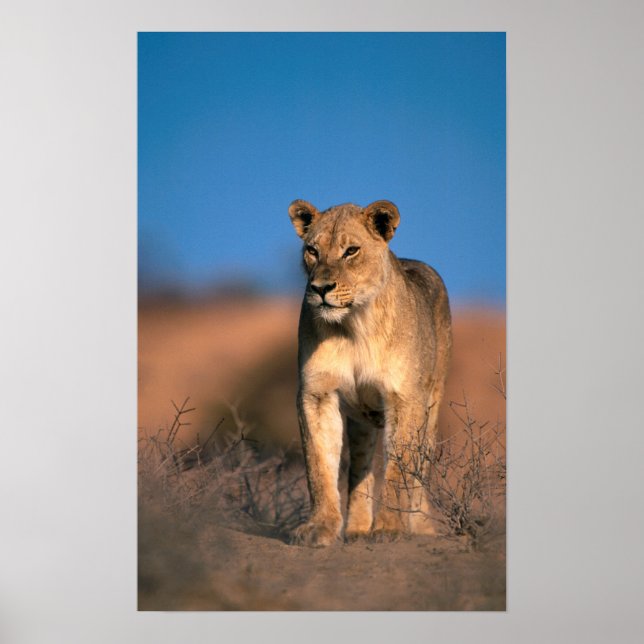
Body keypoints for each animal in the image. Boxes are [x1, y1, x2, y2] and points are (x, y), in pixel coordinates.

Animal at [288, 199, 452, 547]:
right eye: (312, 250)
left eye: (351, 250)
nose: (320, 289)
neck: (354, 326)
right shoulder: (317, 393)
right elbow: (319, 465)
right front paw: (320, 527)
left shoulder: (405, 398)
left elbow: (399, 469)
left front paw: (390, 527)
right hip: (362, 422)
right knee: (360, 469)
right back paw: (357, 529)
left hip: (432, 406)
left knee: (420, 470)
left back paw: (418, 526)